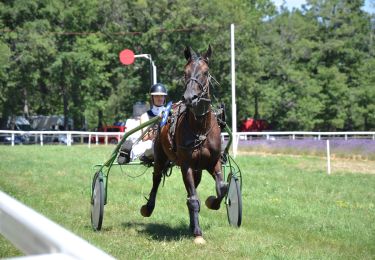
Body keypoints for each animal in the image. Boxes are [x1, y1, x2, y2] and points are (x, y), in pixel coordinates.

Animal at [140, 45, 226, 244]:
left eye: (205, 72)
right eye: (185, 72)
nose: (189, 97)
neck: (200, 128)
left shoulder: (213, 162)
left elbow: (222, 188)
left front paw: (212, 202)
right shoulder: (186, 165)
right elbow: (193, 199)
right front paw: (198, 234)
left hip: (198, 169)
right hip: (160, 158)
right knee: (156, 179)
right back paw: (148, 208)